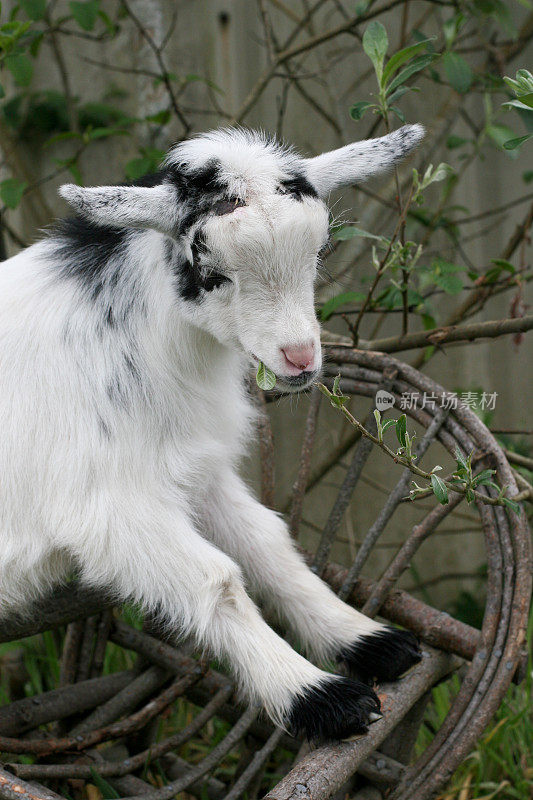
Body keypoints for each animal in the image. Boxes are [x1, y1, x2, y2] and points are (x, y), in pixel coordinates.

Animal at [0, 125, 424, 744]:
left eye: (318, 253)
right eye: (212, 273)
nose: (300, 359)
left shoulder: (198, 470)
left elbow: (269, 545)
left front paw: (365, 638)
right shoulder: (111, 507)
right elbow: (217, 581)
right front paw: (318, 696)